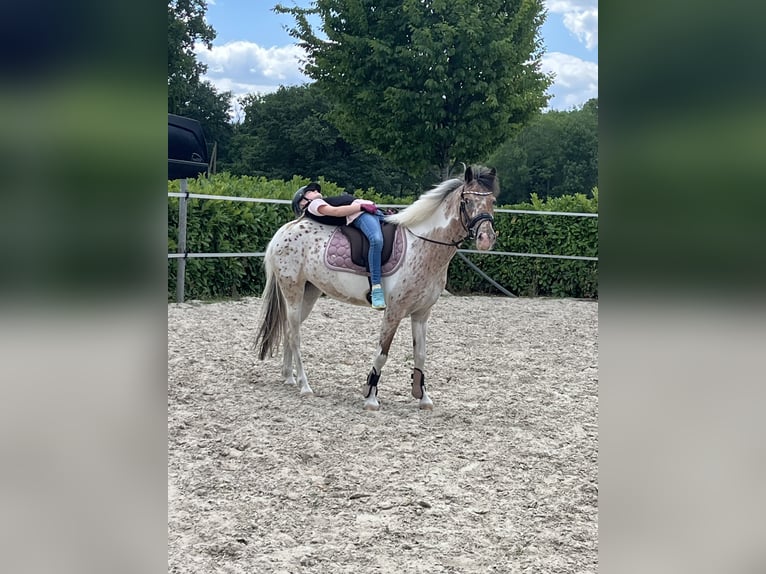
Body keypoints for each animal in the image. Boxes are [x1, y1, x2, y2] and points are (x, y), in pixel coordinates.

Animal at [255, 165, 498, 410]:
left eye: (492, 201)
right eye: (467, 201)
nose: (486, 239)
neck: (424, 244)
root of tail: (285, 230)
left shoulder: (421, 314)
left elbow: (420, 354)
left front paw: (423, 397)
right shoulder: (394, 312)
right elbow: (382, 353)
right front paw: (370, 397)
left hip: (309, 292)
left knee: (289, 331)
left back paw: (289, 377)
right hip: (293, 291)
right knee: (294, 335)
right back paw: (305, 385)